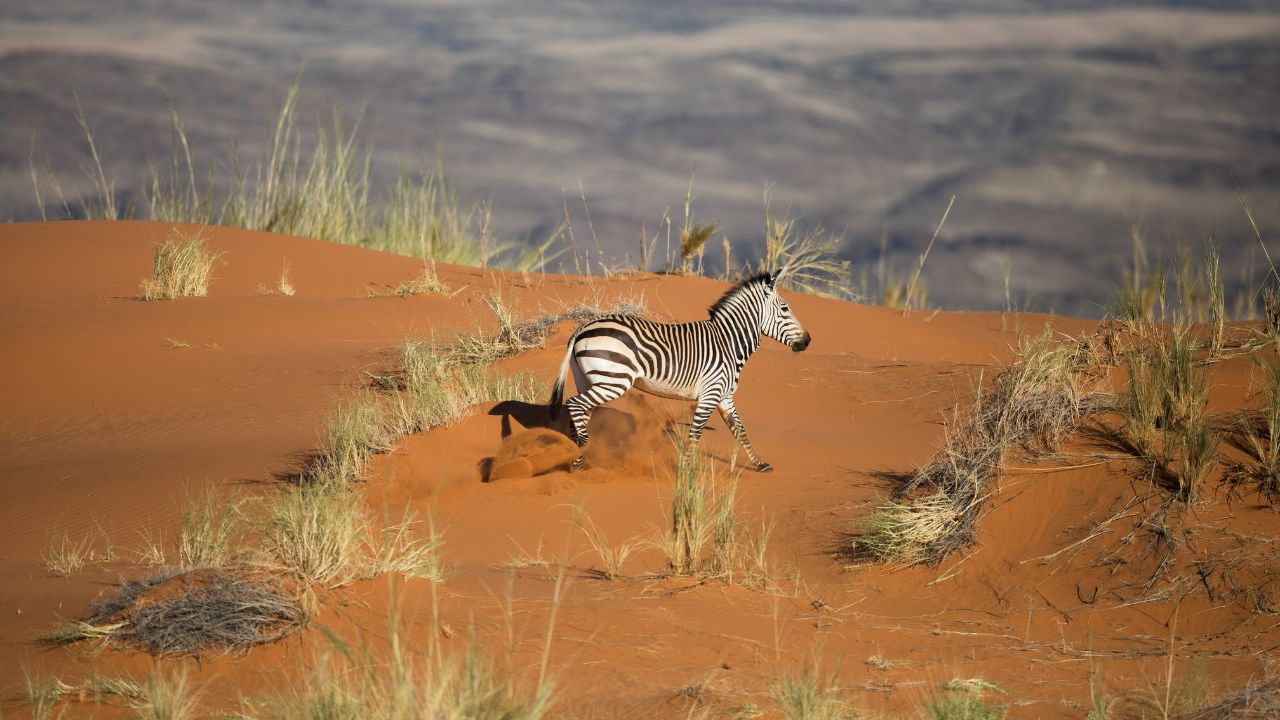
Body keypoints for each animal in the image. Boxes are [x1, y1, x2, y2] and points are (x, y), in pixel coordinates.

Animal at [548, 270, 811, 472]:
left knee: (578, 415)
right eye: (785, 309)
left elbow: (740, 430)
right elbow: (695, 433)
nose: (808, 340)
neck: (728, 343)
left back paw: (575, 459)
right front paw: (688, 471)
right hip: (614, 381)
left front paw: (760, 464)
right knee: (574, 404)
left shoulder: (725, 396)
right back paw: (581, 454)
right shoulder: (710, 395)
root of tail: (583, 327)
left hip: (589, 380)